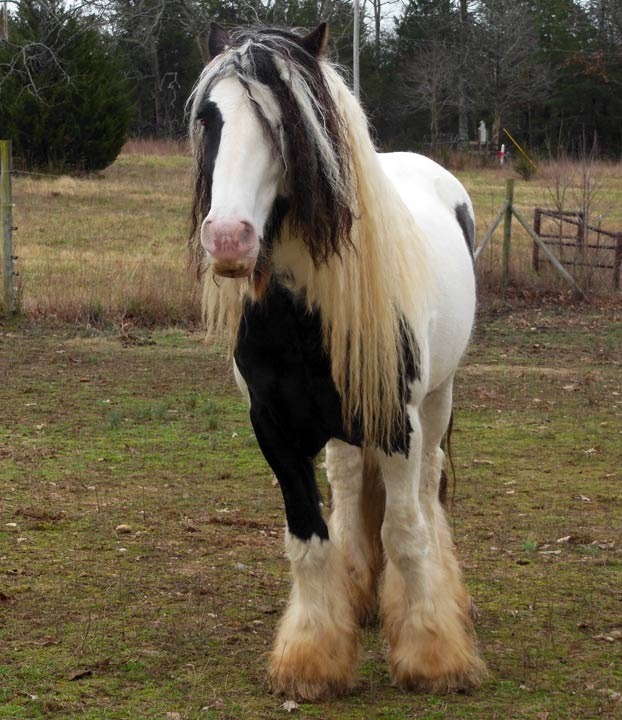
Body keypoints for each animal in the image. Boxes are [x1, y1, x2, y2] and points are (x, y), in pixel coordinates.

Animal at [190, 23, 488, 704]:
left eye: (288, 123)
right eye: (209, 117)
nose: (228, 239)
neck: (301, 317)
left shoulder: (396, 421)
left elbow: (405, 531)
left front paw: (433, 655)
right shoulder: (272, 426)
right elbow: (308, 536)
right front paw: (312, 658)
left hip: (436, 402)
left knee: (426, 494)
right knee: (350, 487)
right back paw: (358, 592)